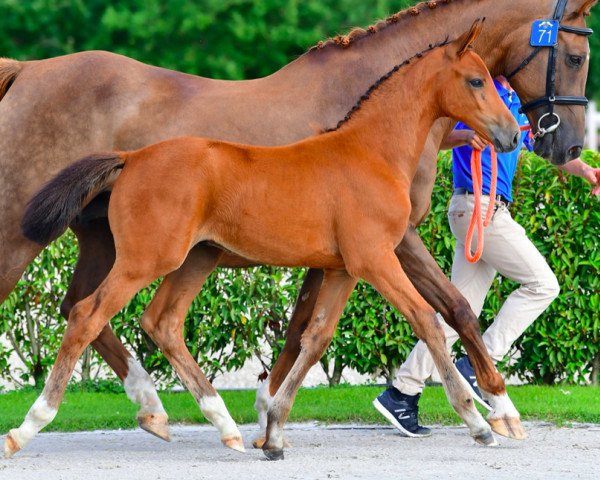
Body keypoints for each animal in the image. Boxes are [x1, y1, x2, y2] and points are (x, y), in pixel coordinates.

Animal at [0, 0, 592, 446]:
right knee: (85, 313)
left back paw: (170, 411)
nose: (562, 145)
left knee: (104, 311)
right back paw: (41, 425)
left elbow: (311, 329)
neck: (367, 139)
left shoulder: (342, 257)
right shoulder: (385, 247)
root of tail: (25, 70)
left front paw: (269, 418)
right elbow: (446, 311)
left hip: (127, 244)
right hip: (55, 239)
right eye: (576, 53)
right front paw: (492, 408)